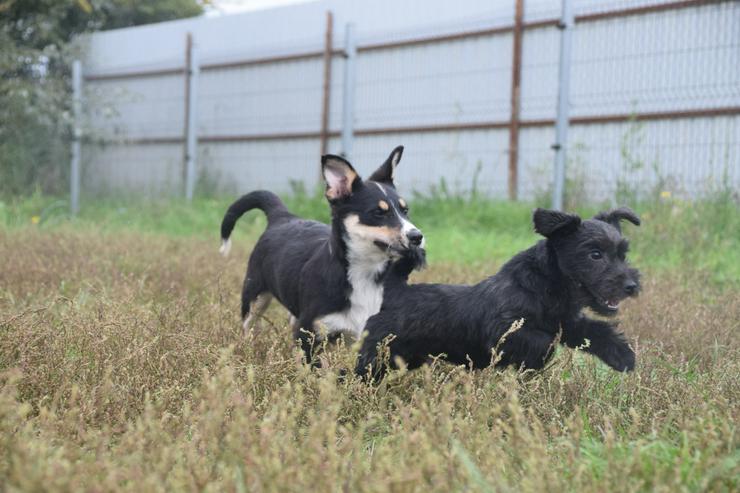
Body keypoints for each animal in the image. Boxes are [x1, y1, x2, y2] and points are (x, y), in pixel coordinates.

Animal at [220, 146, 424, 362]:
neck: (364, 275)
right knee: (249, 326)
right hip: (254, 296)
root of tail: (282, 216)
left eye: (405, 210)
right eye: (378, 213)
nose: (417, 236)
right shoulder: (311, 332)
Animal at [354, 206, 640, 378]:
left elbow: (595, 330)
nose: (631, 285)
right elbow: (542, 340)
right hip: (377, 356)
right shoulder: (504, 331)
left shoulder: (567, 321)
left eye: (623, 254)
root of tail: (395, 291)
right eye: (595, 254)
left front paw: (623, 357)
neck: (545, 285)